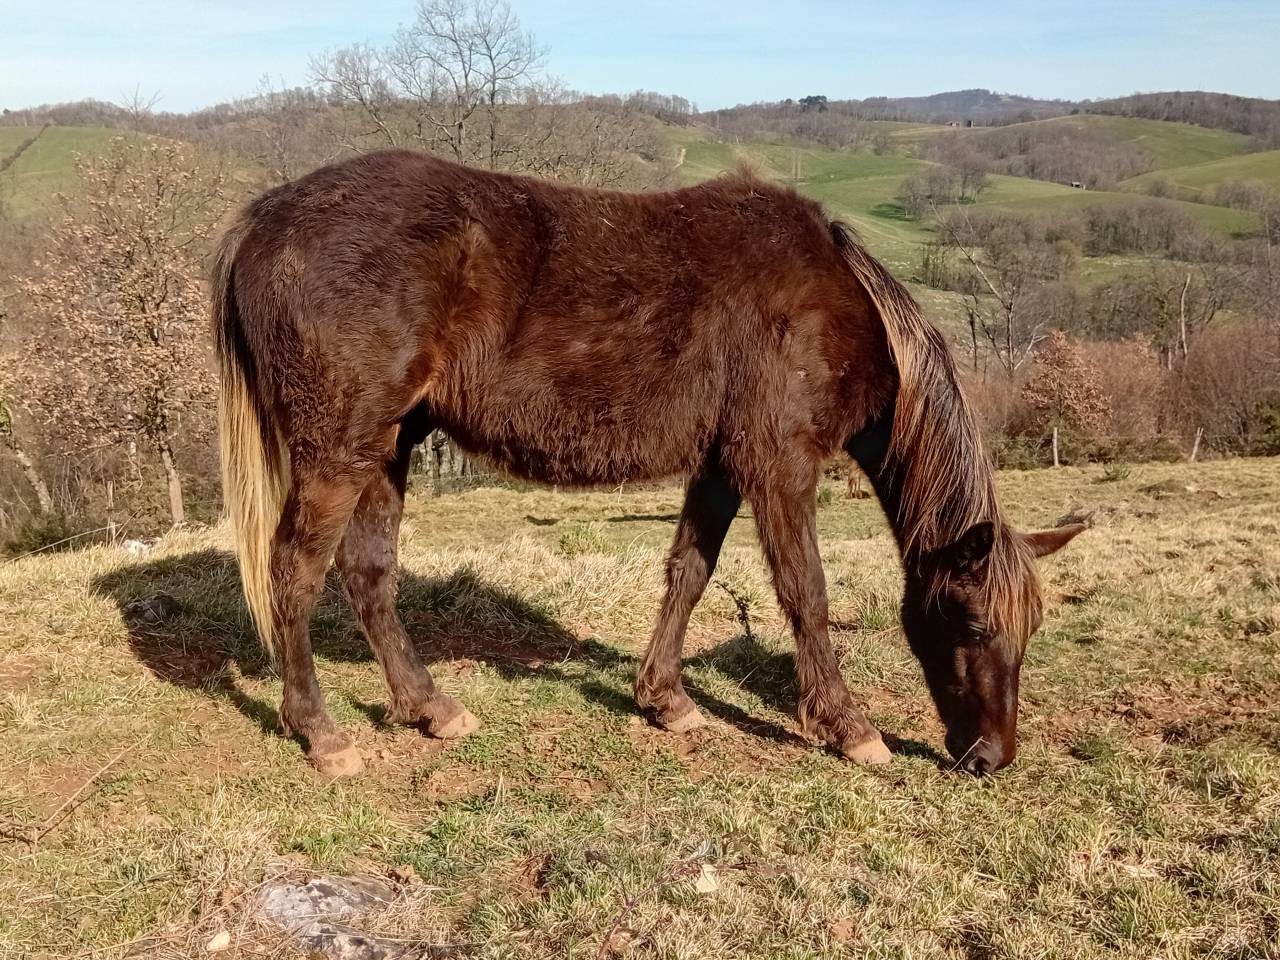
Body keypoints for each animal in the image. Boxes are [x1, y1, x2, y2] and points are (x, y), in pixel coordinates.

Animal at [212, 151, 1084, 778]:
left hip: (387, 447)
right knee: (294, 573)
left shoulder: (723, 469)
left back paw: (430, 707)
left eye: (1032, 627)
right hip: (339, 451)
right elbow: (806, 594)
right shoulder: (781, 467)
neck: (834, 303)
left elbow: (689, 574)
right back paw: (322, 734)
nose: (991, 758)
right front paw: (846, 725)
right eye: (973, 622)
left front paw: (664, 698)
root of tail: (267, 216)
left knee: (368, 575)